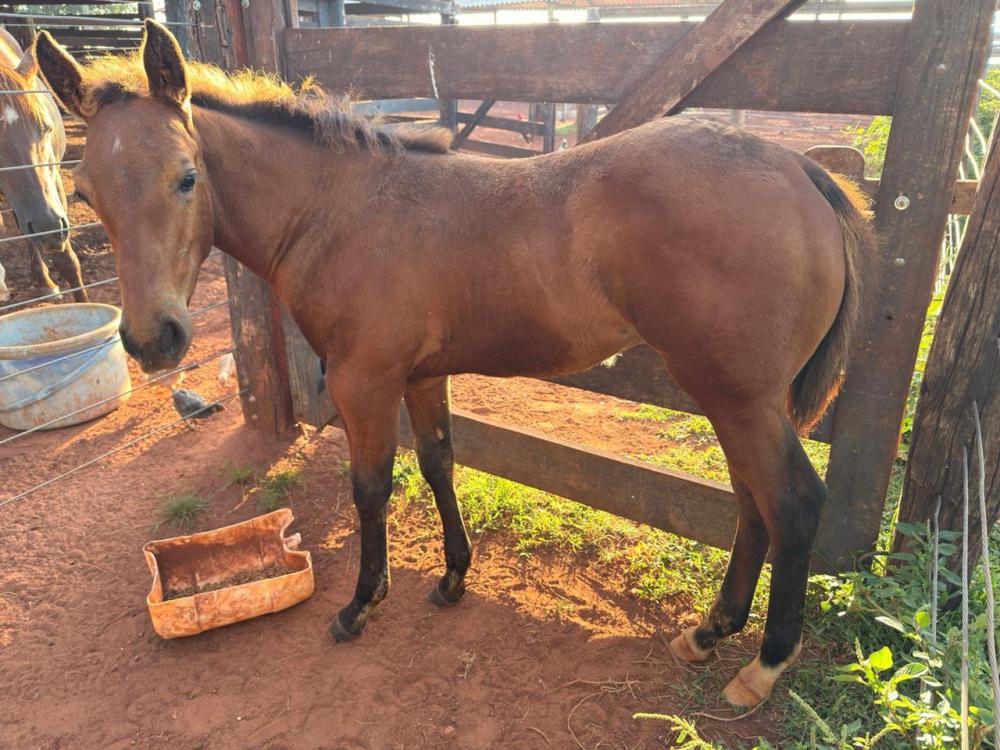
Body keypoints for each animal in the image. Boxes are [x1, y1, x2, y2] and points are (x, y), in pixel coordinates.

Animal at [35, 21, 876, 707]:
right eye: (86, 192)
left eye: (186, 176)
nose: (155, 339)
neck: (338, 209)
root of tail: (801, 169)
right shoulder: (419, 374)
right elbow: (440, 459)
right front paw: (451, 577)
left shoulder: (363, 378)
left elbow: (372, 486)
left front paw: (361, 604)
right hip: (730, 396)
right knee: (750, 499)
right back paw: (708, 631)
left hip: (741, 396)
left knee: (791, 500)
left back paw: (762, 665)